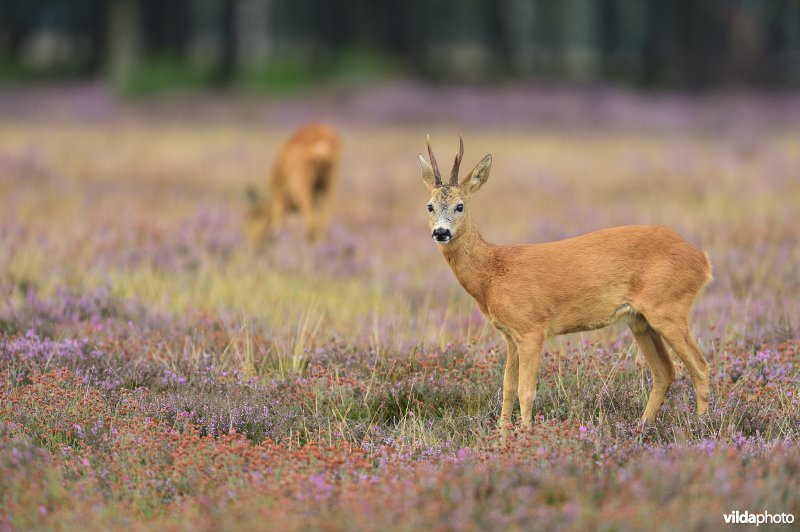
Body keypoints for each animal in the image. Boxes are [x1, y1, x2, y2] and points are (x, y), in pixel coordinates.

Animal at [418, 137, 712, 428]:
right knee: (665, 371)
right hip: (640, 319)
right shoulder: (510, 336)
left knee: (700, 366)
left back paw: (701, 424)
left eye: (460, 205)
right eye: (429, 206)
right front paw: (502, 434)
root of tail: (702, 260)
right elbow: (508, 389)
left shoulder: (532, 328)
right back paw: (644, 426)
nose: (441, 232)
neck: (493, 271)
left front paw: (525, 434)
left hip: (669, 307)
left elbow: (526, 391)